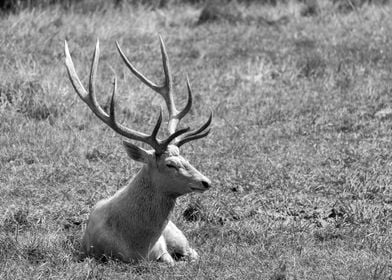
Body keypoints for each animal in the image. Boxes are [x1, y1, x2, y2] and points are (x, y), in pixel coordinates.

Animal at [64, 36, 213, 264]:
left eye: (186, 159)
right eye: (170, 164)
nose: (206, 182)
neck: (138, 246)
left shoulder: (162, 251)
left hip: (178, 235)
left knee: (193, 253)